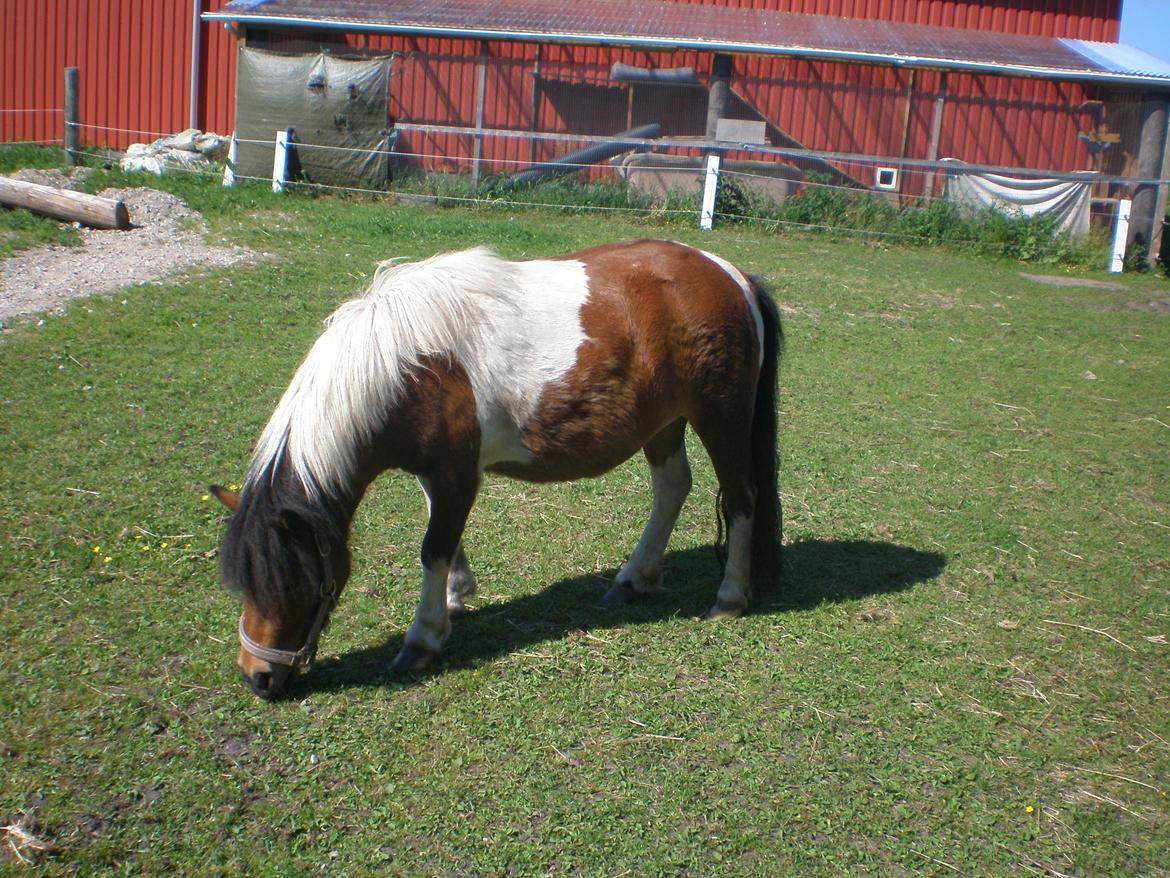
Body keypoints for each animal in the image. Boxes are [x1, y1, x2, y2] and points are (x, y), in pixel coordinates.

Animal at [215, 238, 781, 702]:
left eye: (298, 585)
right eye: (245, 585)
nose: (257, 677)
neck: (407, 367)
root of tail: (731, 274)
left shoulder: (457, 474)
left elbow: (434, 547)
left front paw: (424, 638)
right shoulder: (437, 472)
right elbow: (444, 539)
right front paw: (456, 595)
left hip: (721, 418)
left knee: (740, 497)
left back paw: (729, 596)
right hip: (663, 424)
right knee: (672, 489)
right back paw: (633, 579)